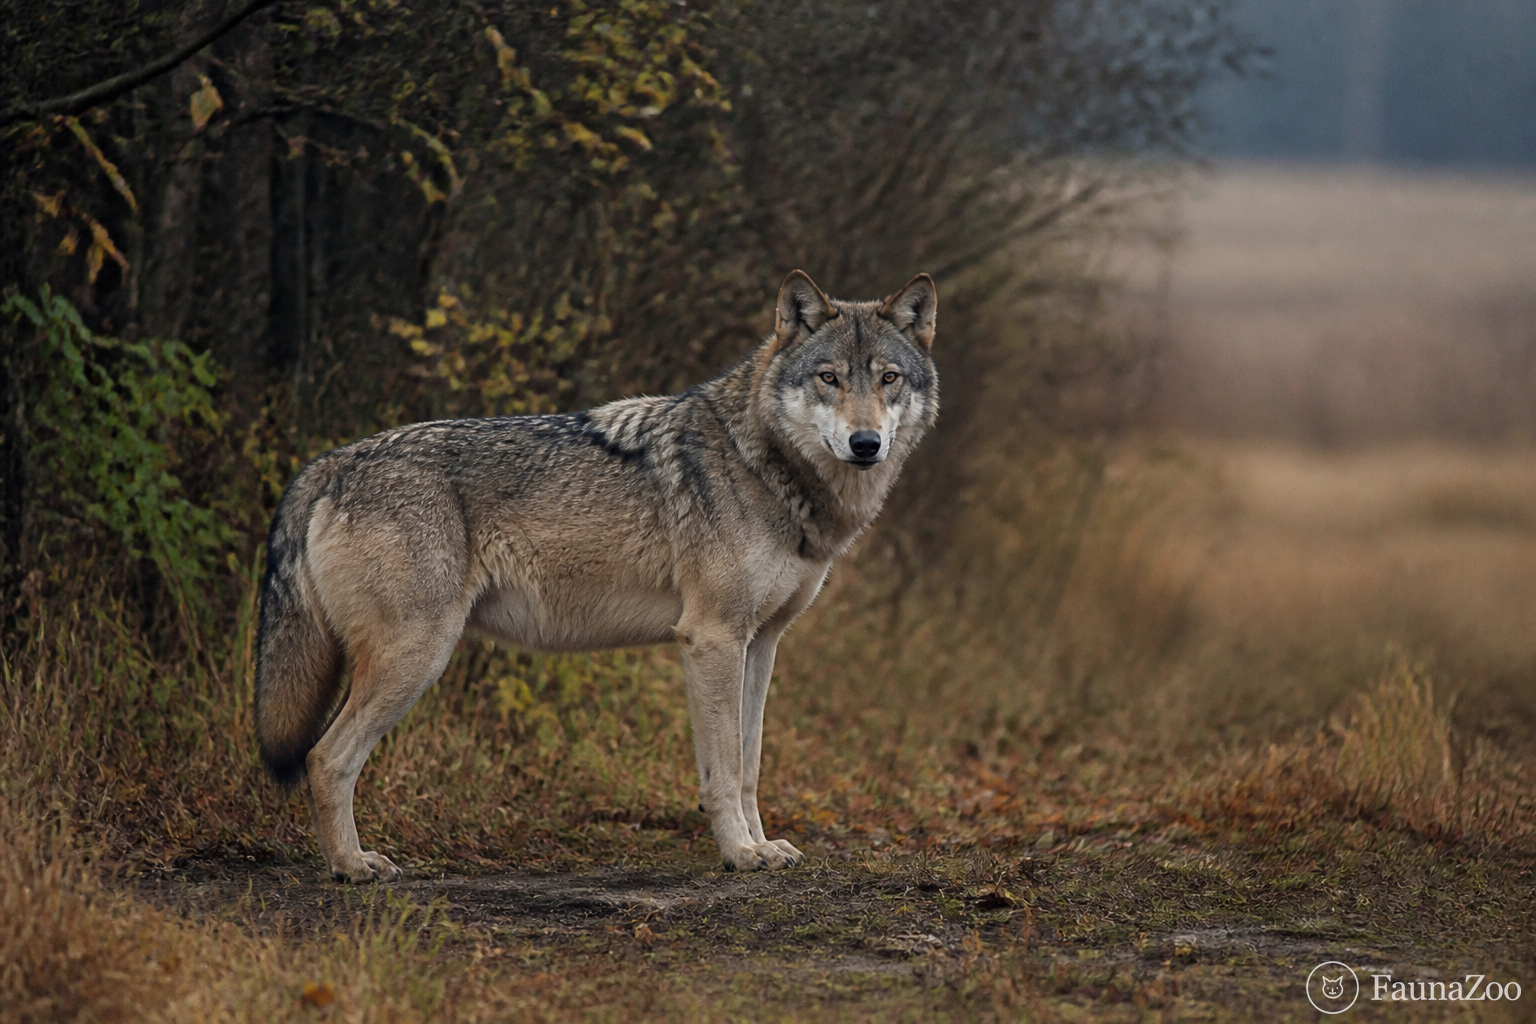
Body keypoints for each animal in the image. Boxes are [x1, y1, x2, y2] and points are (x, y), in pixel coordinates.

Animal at [254, 270, 939, 881]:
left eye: (888, 378)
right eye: (829, 378)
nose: (866, 443)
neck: (765, 464)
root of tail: (331, 463)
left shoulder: (761, 643)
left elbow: (748, 765)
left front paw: (762, 845)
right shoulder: (711, 638)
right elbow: (722, 769)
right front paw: (740, 855)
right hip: (416, 657)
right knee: (325, 757)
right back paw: (351, 867)